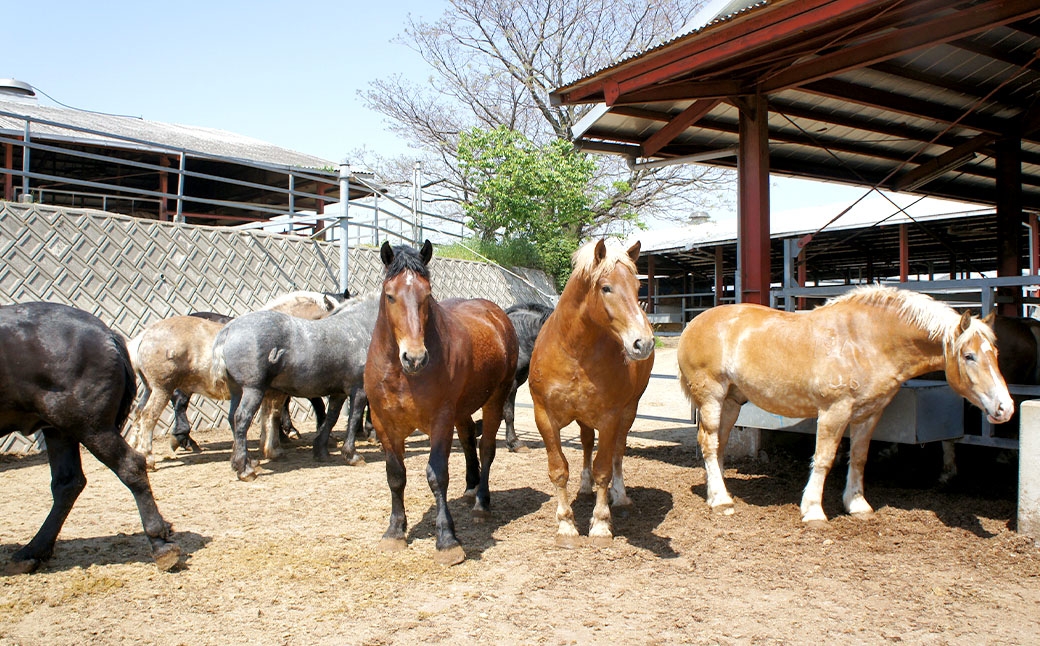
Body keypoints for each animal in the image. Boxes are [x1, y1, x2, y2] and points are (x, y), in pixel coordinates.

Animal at [0, 302, 181, 573]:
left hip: (88, 426)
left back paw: (159, 544)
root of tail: (107, 334)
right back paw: (33, 551)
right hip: (60, 429)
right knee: (68, 482)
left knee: (130, 465)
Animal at [213, 292, 381, 480]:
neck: (358, 327)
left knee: (232, 418)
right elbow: (354, 418)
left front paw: (321, 450)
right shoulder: (359, 390)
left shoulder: (339, 393)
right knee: (242, 419)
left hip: (237, 391)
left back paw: (242, 462)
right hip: (253, 390)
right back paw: (245, 469)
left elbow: (331, 418)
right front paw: (352, 455)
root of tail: (229, 329)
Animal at [365, 240, 518, 565]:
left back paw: (482, 501)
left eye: (427, 295)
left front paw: (447, 540)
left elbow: (437, 476)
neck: (403, 375)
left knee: (486, 449)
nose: (414, 357)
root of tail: (497, 314)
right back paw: (471, 488)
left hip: (494, 400)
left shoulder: (440, 421)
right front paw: (395, 532)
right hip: (462, 410)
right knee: (469, 440)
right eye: (390, 295)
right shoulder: (385, 424)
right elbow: (395, 476)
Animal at [528, 239, 655, 547]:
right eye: (606, 287)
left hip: (629, 411)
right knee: (586, 443)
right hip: (584, 416)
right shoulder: (544, 417)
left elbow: (604, 469)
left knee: (618, 451)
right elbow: (559, 470)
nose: (643, 343)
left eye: (637, 287)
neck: (575, 352)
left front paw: (600, 524)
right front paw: (566, 525)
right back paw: (584, 487)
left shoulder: (610, 417)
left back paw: (620, 496)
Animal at [677, 285, 1014, 526]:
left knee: (718, 443)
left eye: (996, 354)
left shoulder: (869, 414)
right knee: (708, 442)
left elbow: (860, 458)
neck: (866, 340)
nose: (1006, 408)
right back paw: (721, 499)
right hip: (712, 397)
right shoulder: (834, 411)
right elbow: (825, 458)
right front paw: (813, 510)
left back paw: (717, 491)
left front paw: (857, 505)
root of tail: (694, 323)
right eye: (969, 356)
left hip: (732, 401)